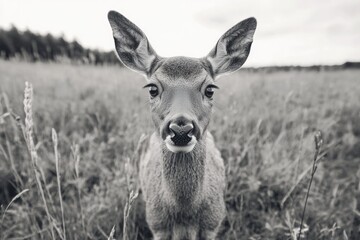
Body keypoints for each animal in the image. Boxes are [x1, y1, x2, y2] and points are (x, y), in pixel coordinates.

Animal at [107, 10, 256, 240]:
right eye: (152, 88)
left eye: (210, 89)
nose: (181, 129)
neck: (184, 216)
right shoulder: (156, 224)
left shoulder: (213, 223)